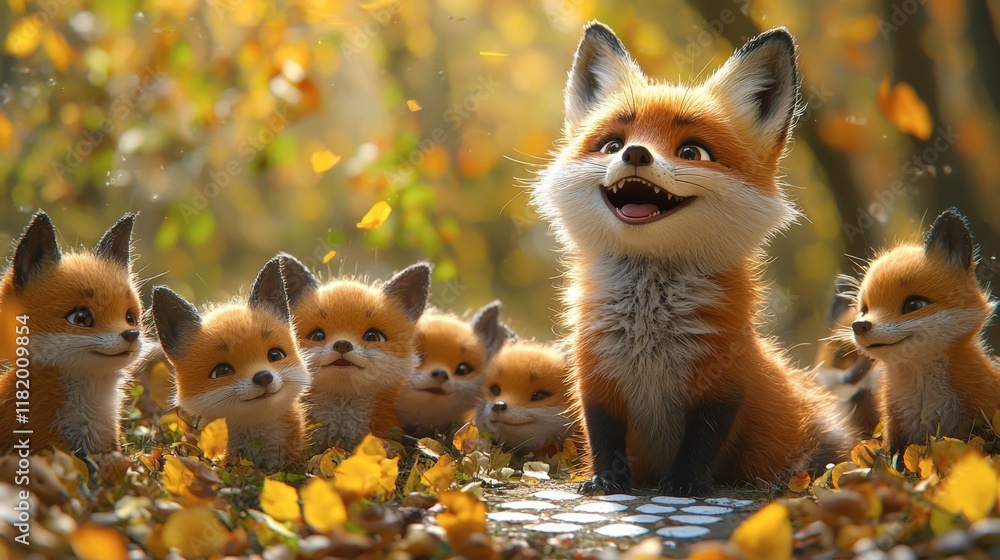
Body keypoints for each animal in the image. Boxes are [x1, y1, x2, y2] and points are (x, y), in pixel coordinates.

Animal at [530, 22, 852, 496]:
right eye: (612, 144)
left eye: (691, 152)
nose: (635, 154)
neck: (649, 332)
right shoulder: (595, 374)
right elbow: (603, 433)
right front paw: (607, 480)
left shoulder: (725, 379)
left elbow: (704, 437)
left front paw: (683, 483)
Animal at [847, 208, 1000, 459]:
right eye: (864, 309)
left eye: (913, 305)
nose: (859, 325)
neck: (925, 401)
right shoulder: (895, 431)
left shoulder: (983, 416)